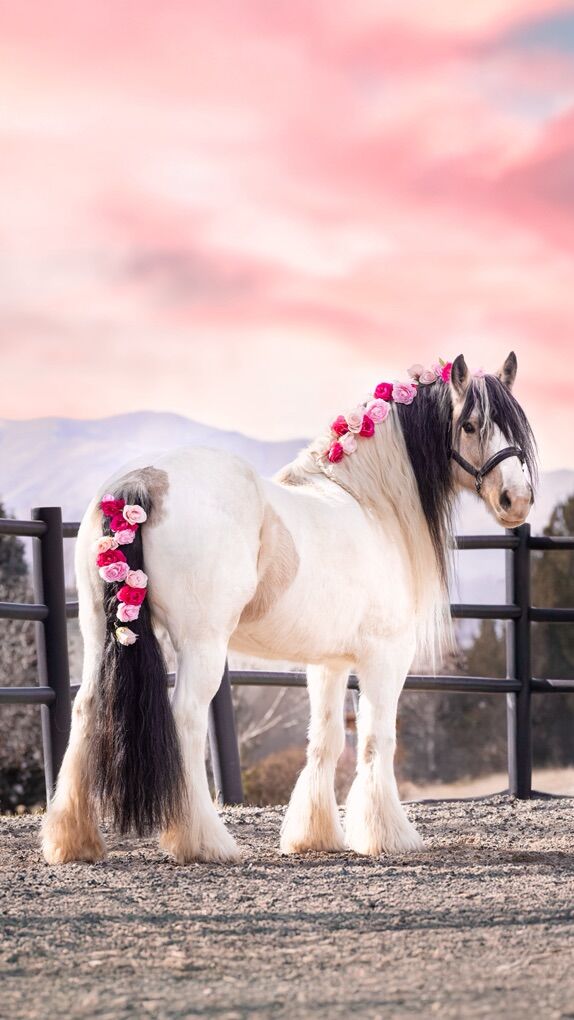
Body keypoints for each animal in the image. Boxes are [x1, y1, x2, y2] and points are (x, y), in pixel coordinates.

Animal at [41, 352, 537, 865]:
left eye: (518, 424)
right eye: (471, 425)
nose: (517, 500)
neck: (369, 504)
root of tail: (144, 481)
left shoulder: (328, 662)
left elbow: (326, 738)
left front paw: (313, 835)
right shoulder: (386, 655)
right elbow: (378, 736)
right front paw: (388, 834)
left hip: (98, 632)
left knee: (86, 710)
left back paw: (71, 840)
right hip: (202, 645)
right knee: (186, 721)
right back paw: (204, 840)